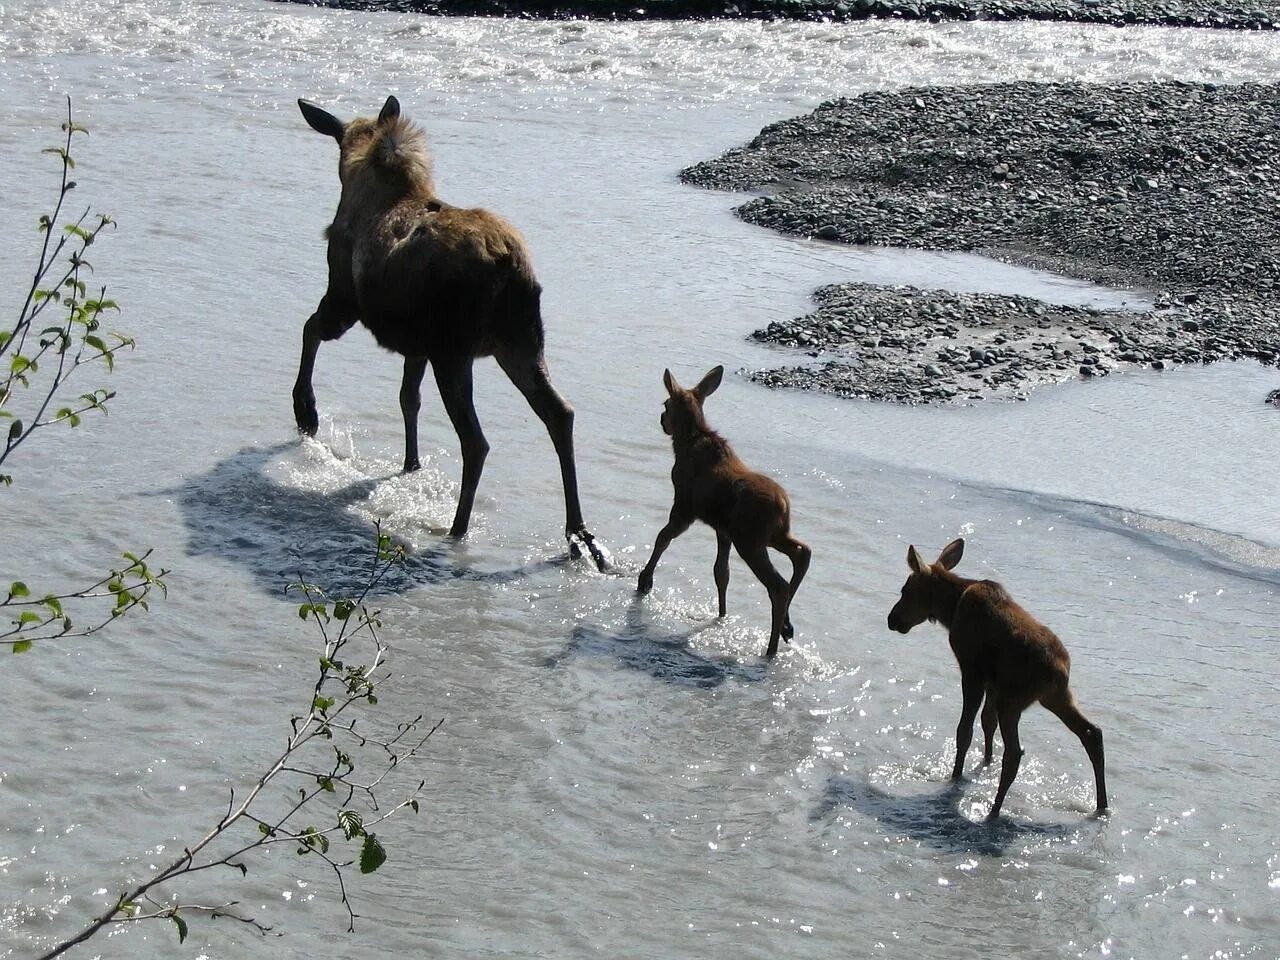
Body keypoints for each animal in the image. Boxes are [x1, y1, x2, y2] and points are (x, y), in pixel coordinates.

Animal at [293, 96, 606, 570]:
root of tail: (509, 265)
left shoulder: (345, 299)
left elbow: (309, 330)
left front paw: (306, 411)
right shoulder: (415, 345)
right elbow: (408, 398)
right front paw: (410, 463)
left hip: (455, 353)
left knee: (476, 441)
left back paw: (458, 528)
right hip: (519, 344)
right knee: (560, 413)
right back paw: (578, 533)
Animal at [637, 368, 808, 660]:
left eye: (666, 404)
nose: (662, 419)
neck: (685, 442)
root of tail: (784, 504)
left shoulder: (684, 507)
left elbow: (662, 538)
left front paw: (645, 580)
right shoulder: (722, 529)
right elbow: (721, 572)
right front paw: (721, 615)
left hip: (750, 541)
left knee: (778, 585)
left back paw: (770, 649)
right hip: (774, 535)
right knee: (803, 553)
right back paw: (786, 627)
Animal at [885, 537, 1105, 824]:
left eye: (905, 590)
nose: (892, 619)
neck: (950, 609)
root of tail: (1057, 671)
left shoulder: (972, 672)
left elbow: (965, 730)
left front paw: (956, 776)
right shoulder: (992, 682)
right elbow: (986, 722)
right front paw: (985, 761)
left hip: (1013, 701)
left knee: (1014, 753)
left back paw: (994, 810)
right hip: (1055, 697)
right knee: (1092, 733)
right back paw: (1102, 805)